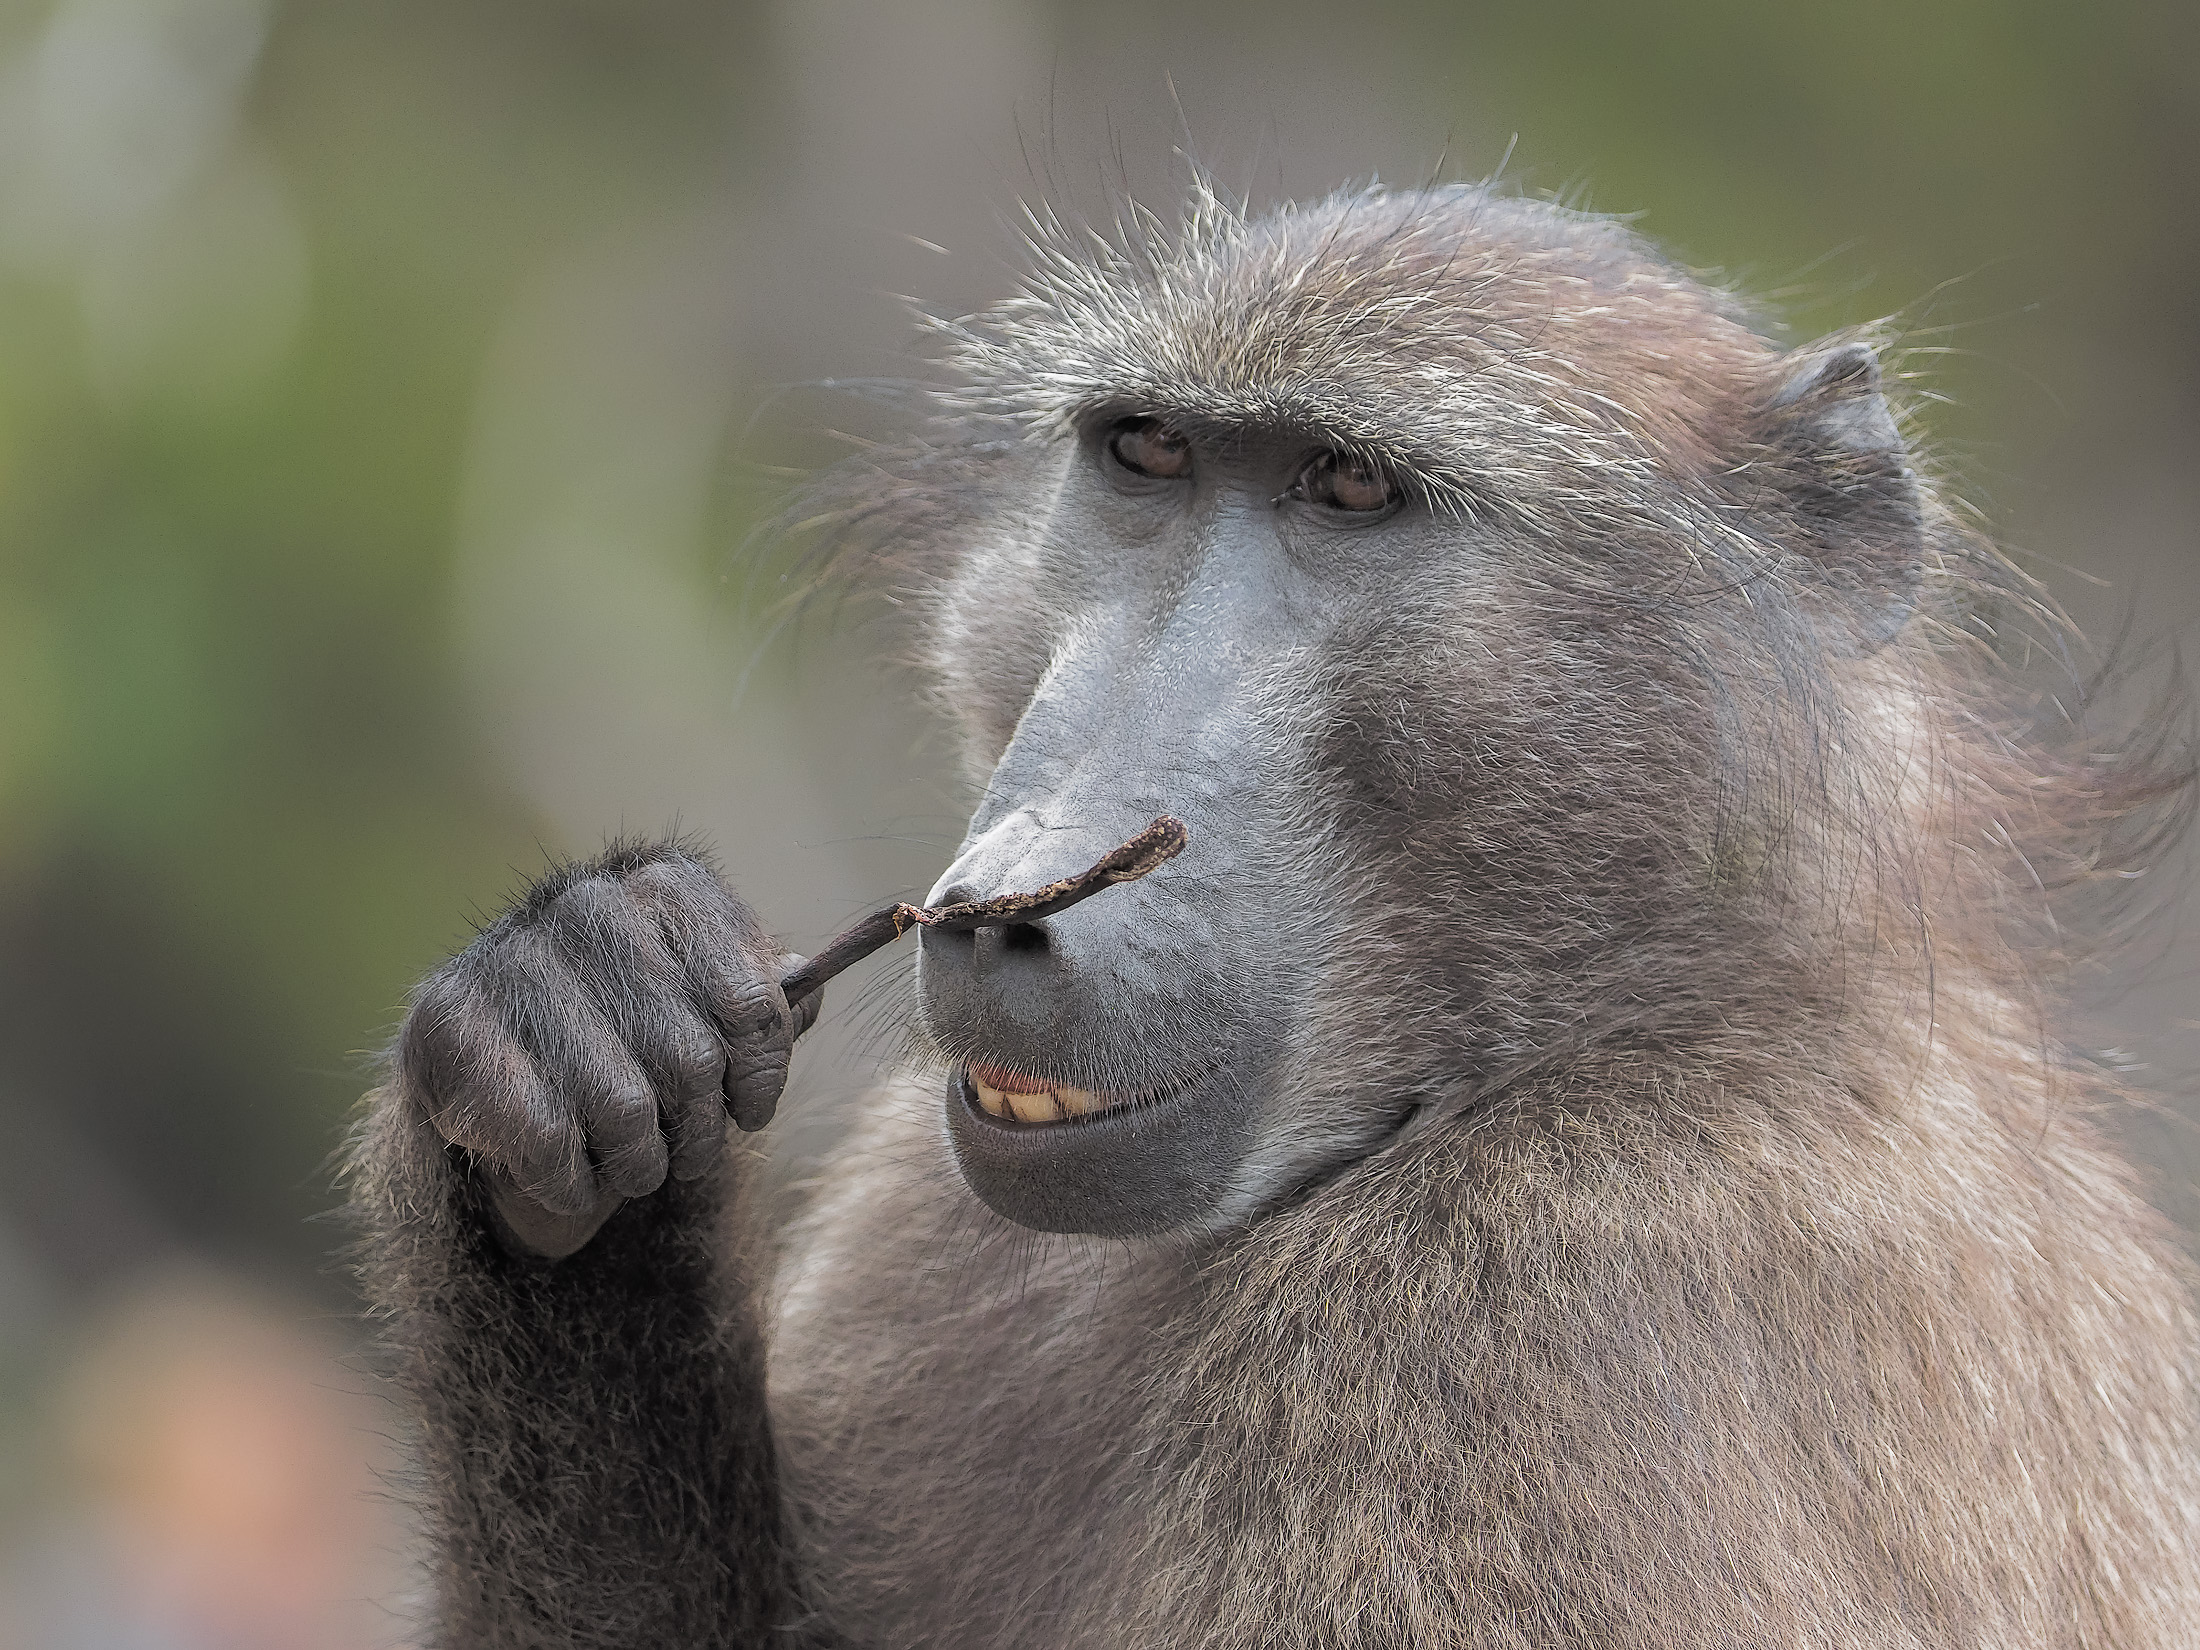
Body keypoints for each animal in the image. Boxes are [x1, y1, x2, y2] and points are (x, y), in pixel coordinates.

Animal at [351, 182, 2200, 1648]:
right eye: (1150, 457)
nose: (1013, 883)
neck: (1652, 1011)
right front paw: (578, 1021)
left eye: (1351, 492)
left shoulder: (1530, 1310)